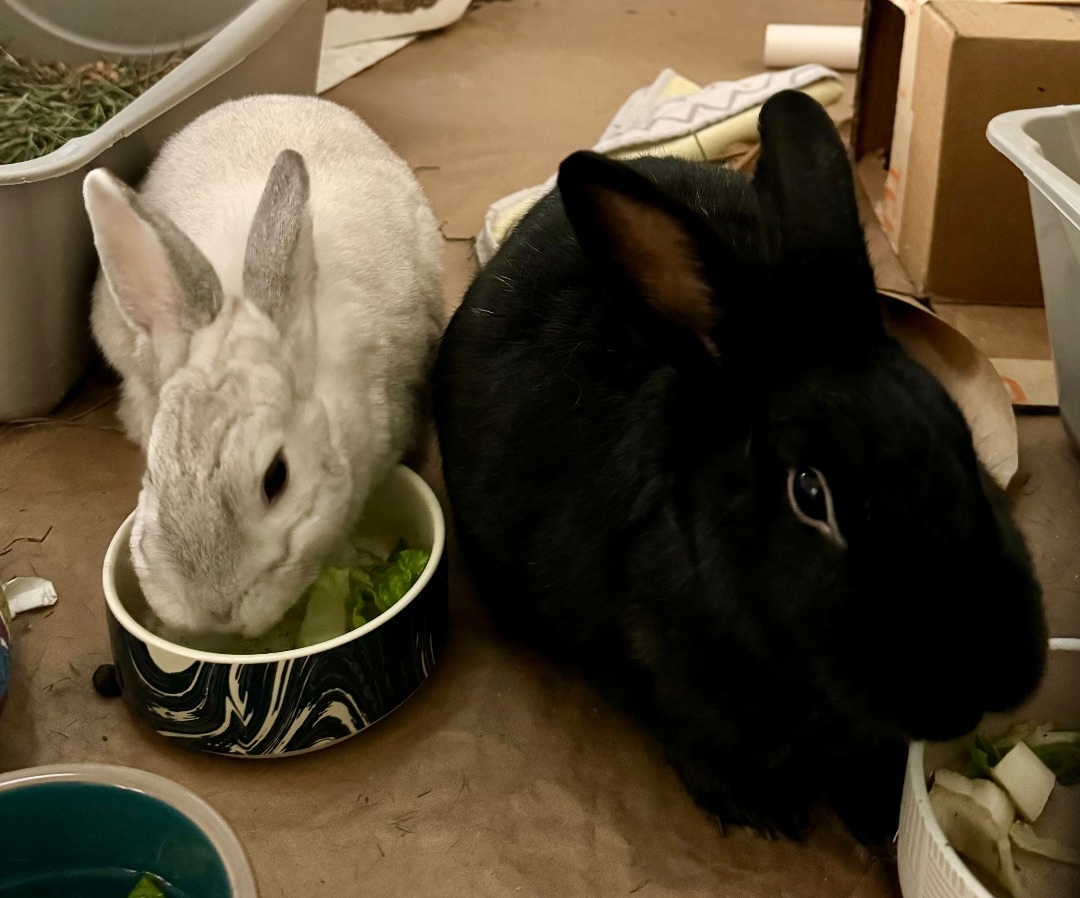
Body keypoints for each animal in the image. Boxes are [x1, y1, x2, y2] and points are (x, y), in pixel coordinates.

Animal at [432, 90, 1047, 844]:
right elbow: (699, 746)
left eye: (959, 434)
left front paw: (879, 815)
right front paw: (764, 814)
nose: (990, 675)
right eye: (809, 493)